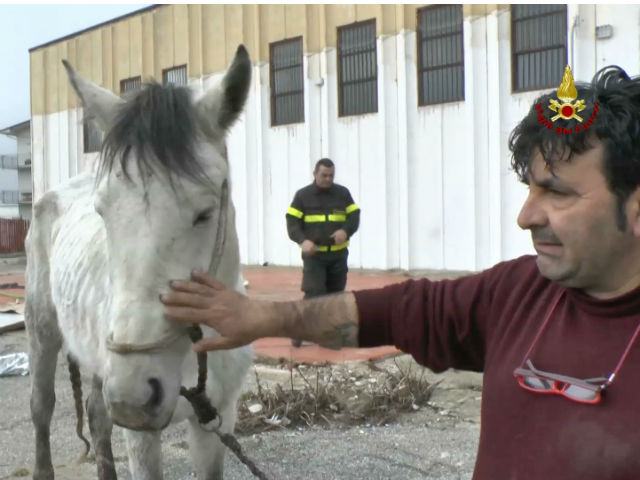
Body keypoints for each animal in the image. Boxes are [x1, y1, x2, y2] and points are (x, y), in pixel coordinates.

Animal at [24, 45, 254, 480]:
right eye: (102, 211)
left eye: (205, 213)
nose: (134, 395)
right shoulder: (141, 434)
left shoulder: (218, 418)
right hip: (43, 331)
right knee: (42, 408)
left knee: (97, 416)